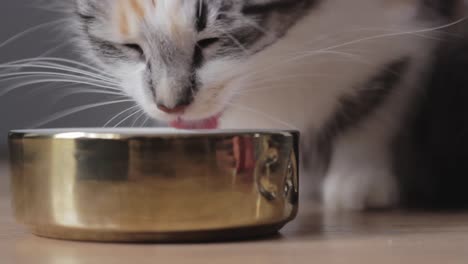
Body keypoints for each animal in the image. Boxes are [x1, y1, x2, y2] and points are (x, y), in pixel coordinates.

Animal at [70, 0, 468, 210]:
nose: (171, 105)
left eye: (211, 41)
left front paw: (358, 180)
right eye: (131, 48)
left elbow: (379, 101)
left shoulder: (406, 30)